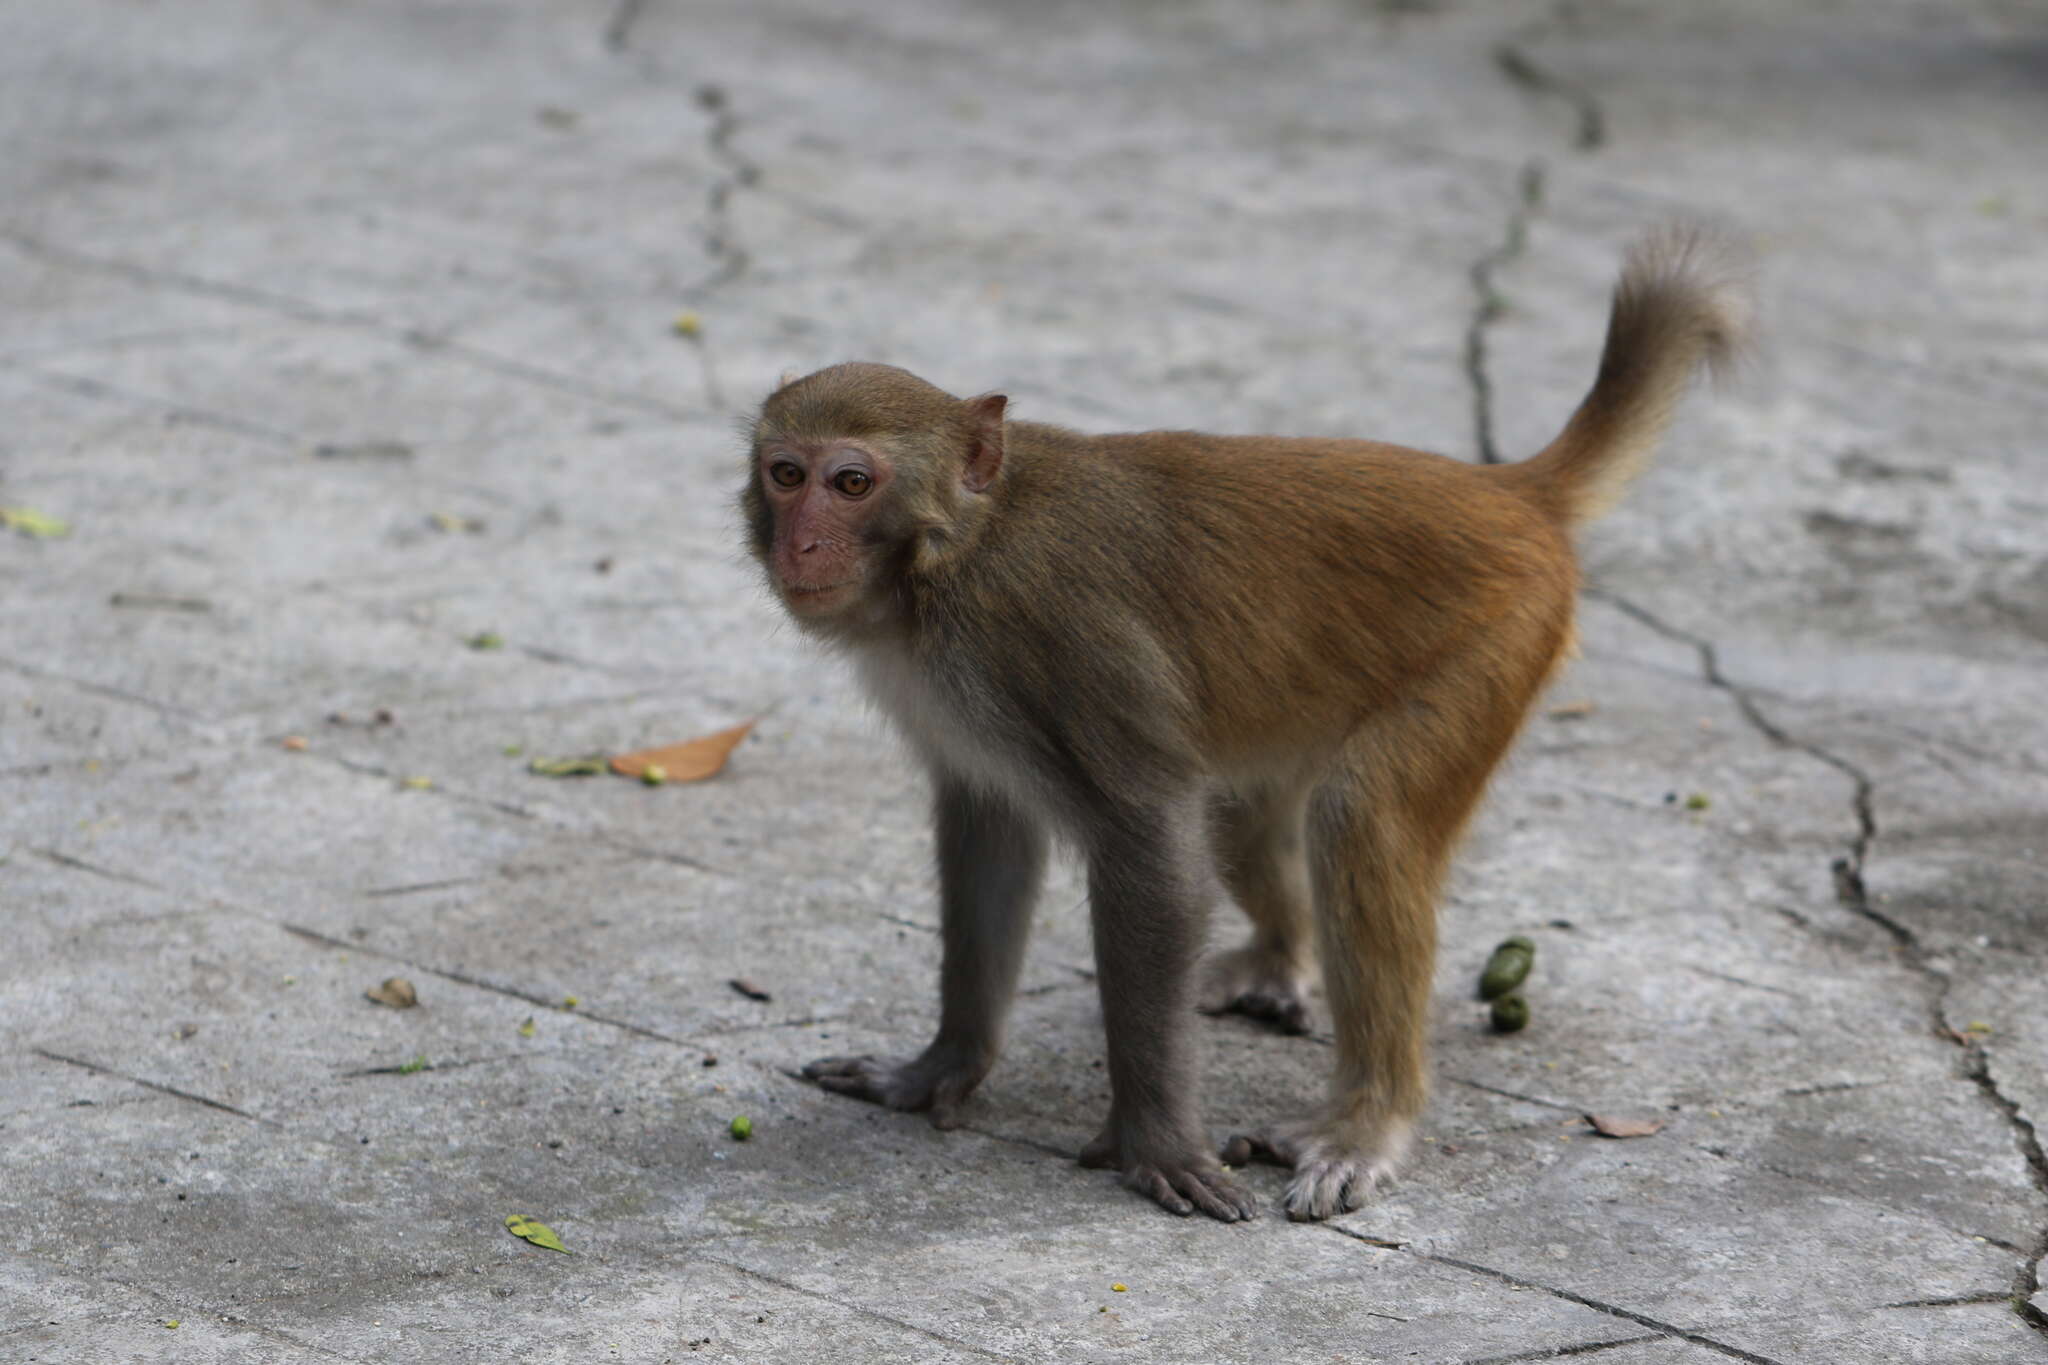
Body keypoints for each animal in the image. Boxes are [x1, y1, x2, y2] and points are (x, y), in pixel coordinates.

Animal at [745, 229, 1753, 1219]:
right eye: (785, 474)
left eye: (850, 481)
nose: (801, 543)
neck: (953, 556)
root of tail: (1510, 491)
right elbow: (991, 835)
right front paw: (938, 1067)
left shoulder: (1057, 638)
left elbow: (1148, 838)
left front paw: (1154, 1140)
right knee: (1238, 813)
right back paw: (1279, 962)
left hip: (1500, 637)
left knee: (1360, 818)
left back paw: (1368, 1119)